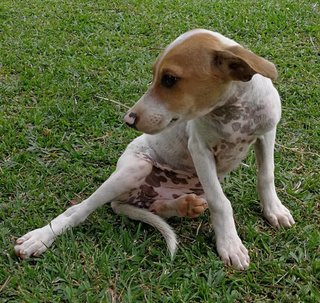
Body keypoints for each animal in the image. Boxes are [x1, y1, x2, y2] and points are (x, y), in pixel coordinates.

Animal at [14, 29, 296, 270]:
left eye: (170, 79)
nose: (128, 120)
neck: (233, 109)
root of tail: (128, 200)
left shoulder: (266, 134)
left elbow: (266, 176)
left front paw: (274, 210)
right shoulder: (200, 148)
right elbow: (221, 202)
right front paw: (230, 244)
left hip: (190, 191)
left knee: (159, 207)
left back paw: (183, 206)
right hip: (136, 167)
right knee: (79, 209)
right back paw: (40, 238)